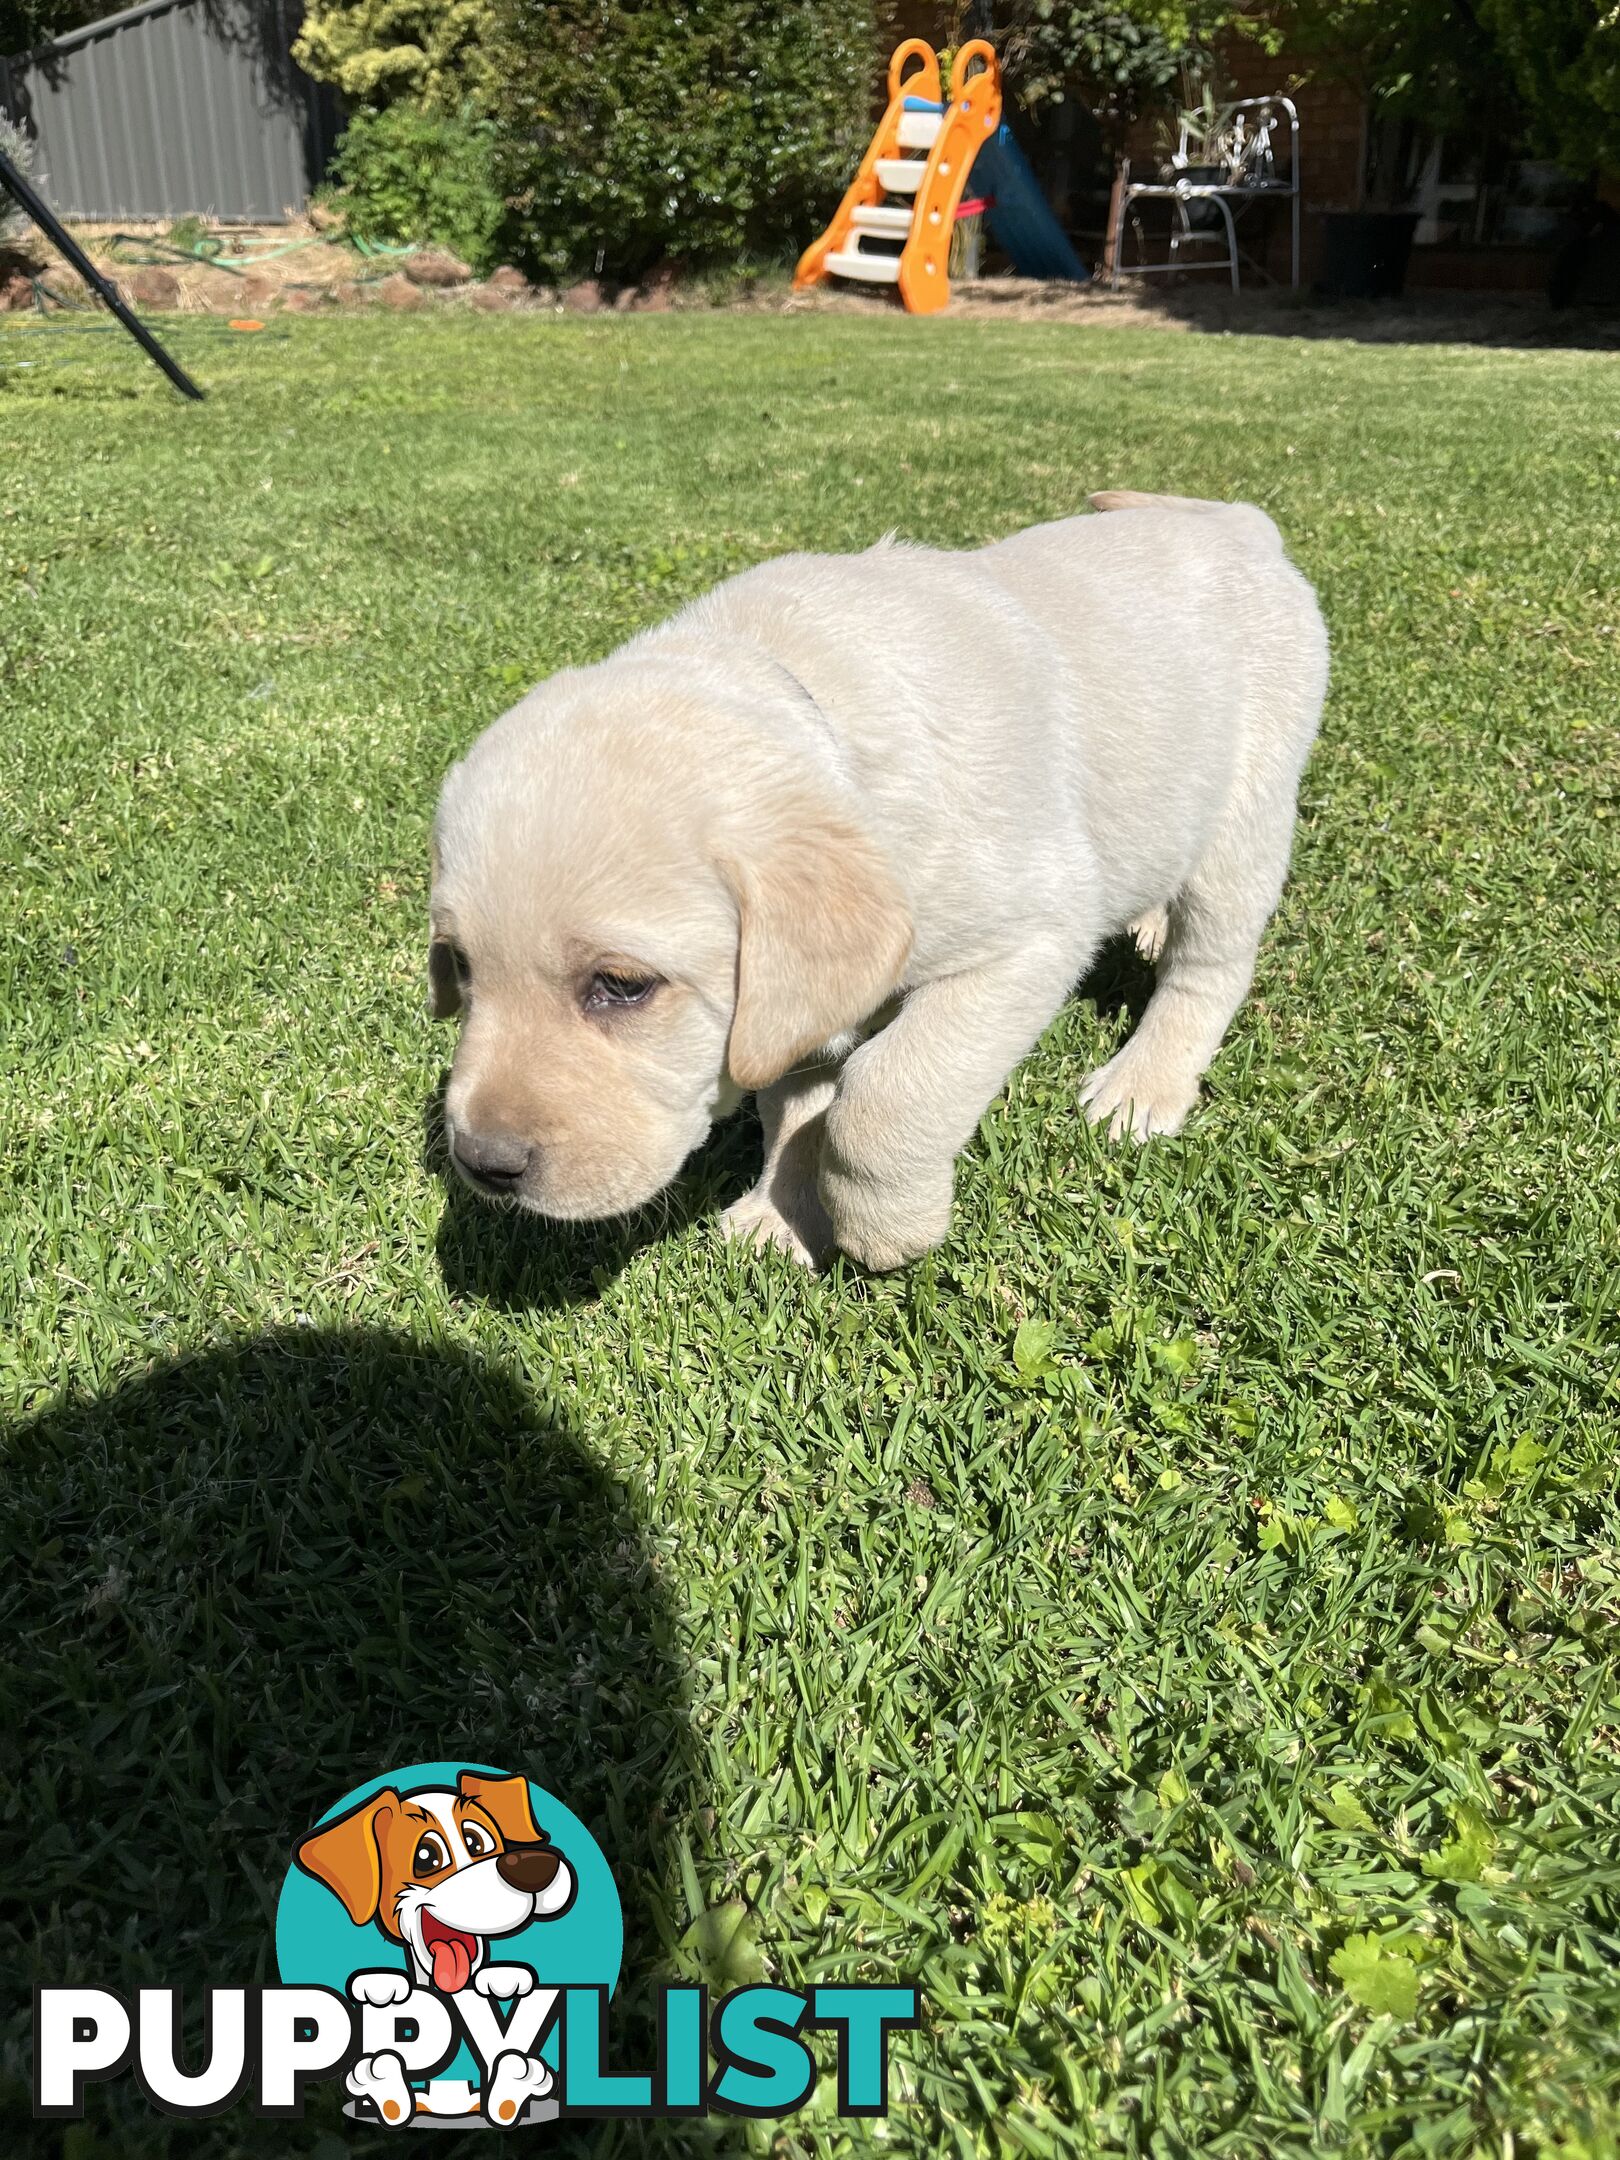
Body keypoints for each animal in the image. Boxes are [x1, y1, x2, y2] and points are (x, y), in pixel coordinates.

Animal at [432, 494, 1330, 1261]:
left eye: (621, 986)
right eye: (462, 968)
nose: (482, 1163)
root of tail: (1236, 522)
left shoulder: (1028, 939)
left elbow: (886, 1093)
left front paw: (884, 1226)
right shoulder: (792, 1005)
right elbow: (797, 1103)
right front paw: (783, 1212)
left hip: (1246, 814)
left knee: (1210, 966)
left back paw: (1144, 1086)